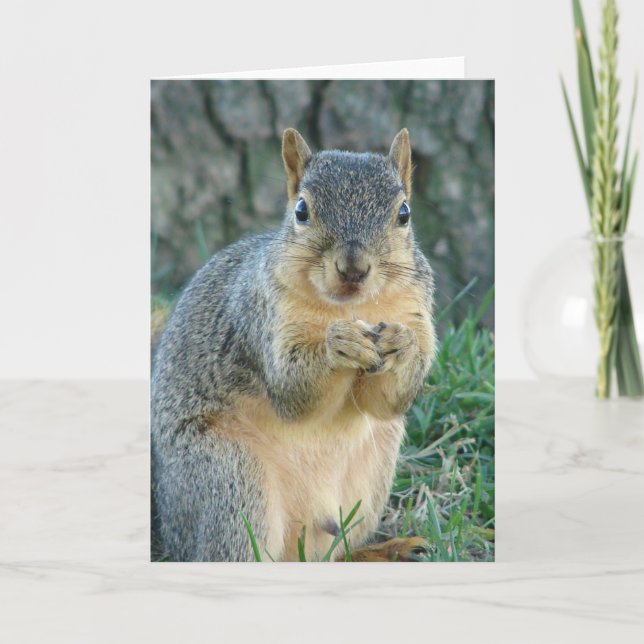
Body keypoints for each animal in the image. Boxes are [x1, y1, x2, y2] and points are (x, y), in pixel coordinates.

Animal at [151, 128, 436, 562]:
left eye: (403, 214)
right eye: (301, 210)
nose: (353, 269)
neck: (351, 307)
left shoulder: (416, 308)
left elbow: (386, 402)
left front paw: (400, 345)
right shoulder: (261, 317)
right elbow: (292, 392)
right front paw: (338, 345)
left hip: (374, 473)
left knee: (331, 554)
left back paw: (381, 551)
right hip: (230, 482)